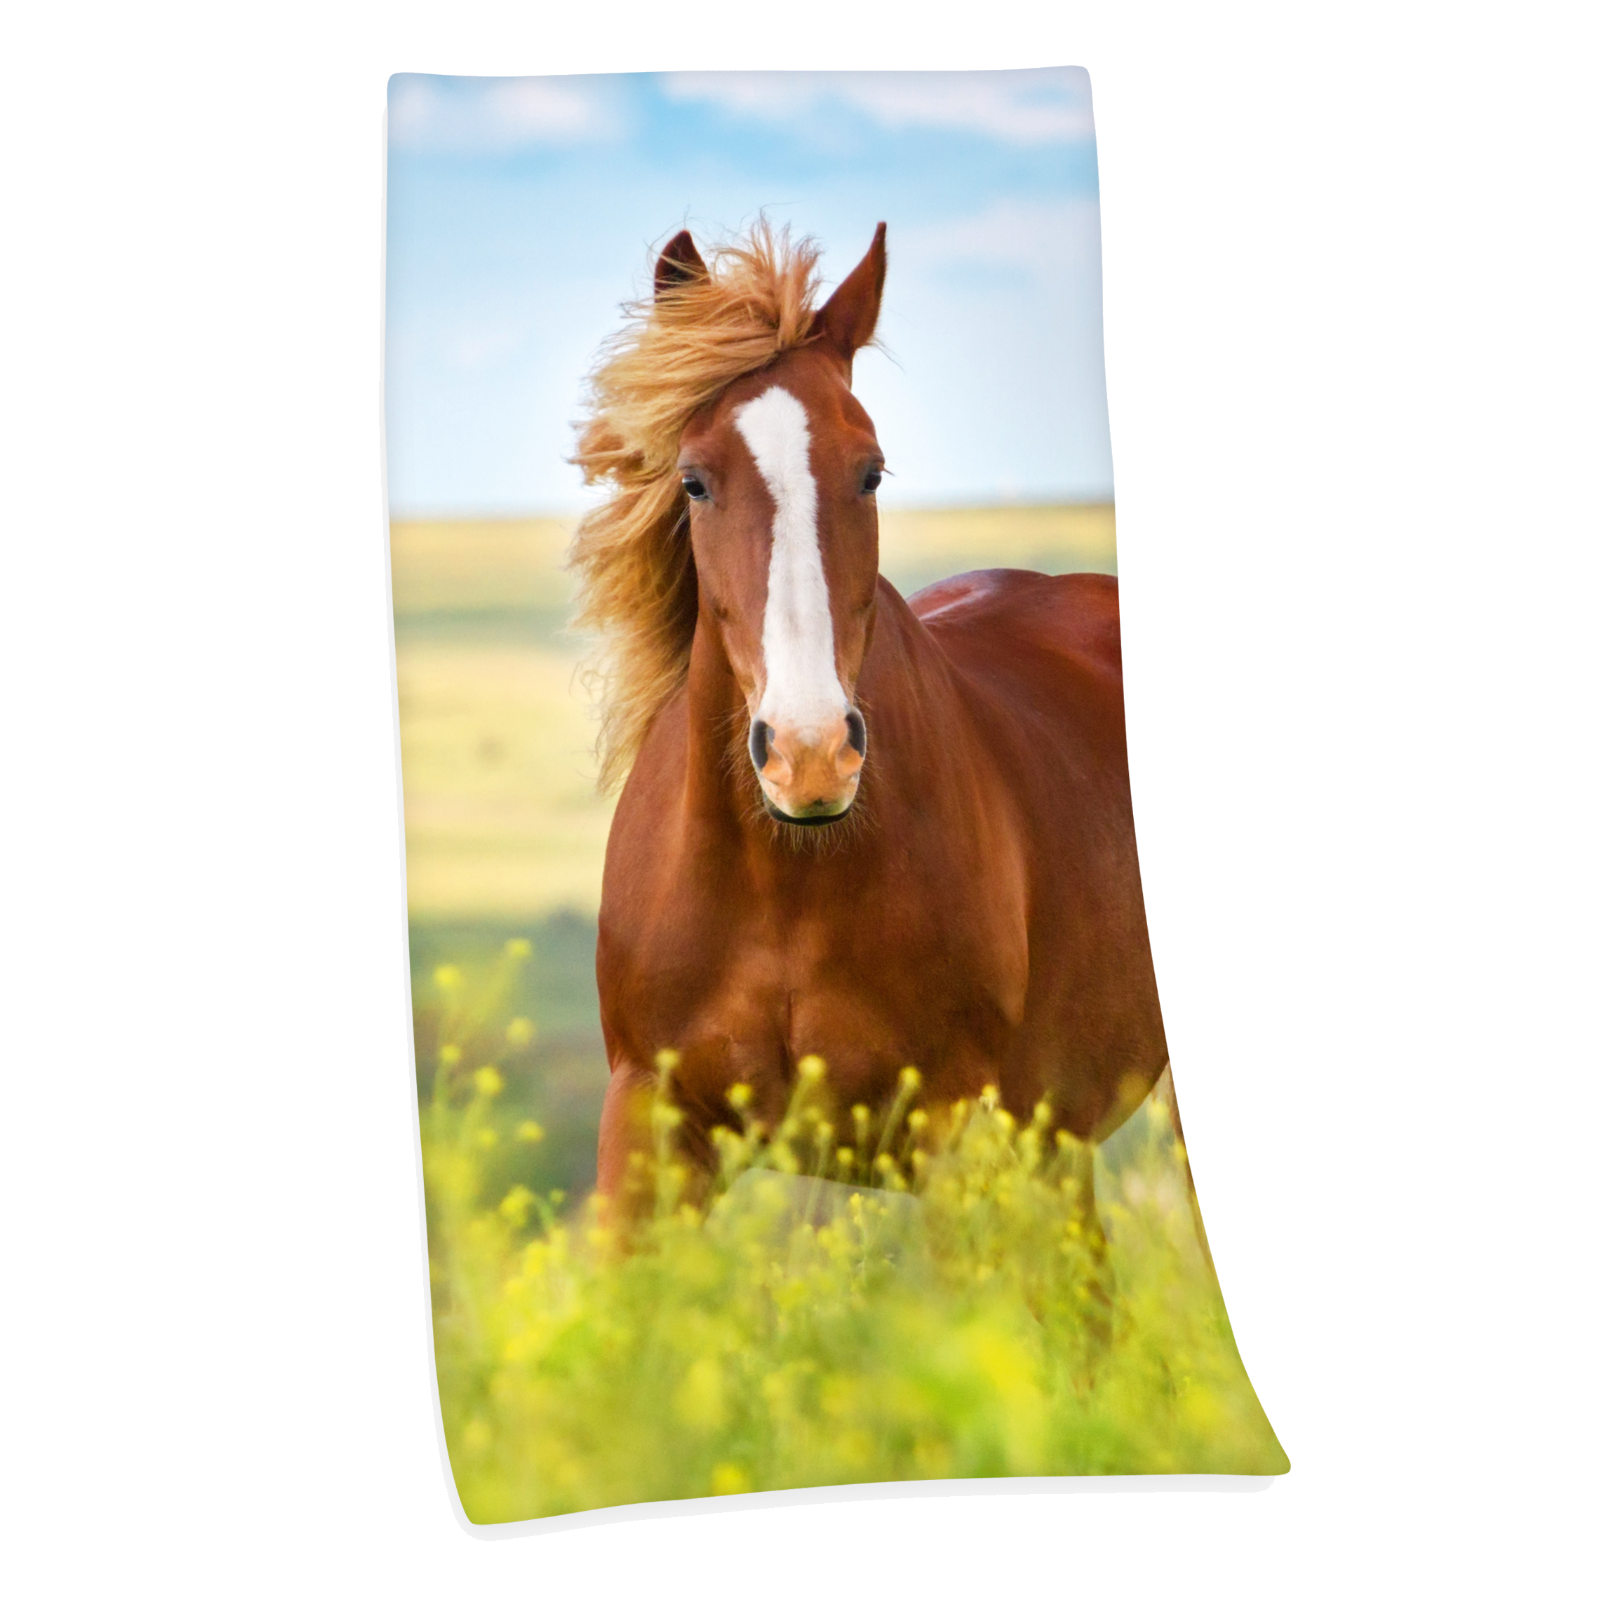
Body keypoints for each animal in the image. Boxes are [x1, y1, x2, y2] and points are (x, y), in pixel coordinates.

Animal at [569, 220, 1173, 1229]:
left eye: (872, 471)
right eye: (693, 482)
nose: (810, 756)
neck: (784, 882)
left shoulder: (956, 1135)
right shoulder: (648, 1125)